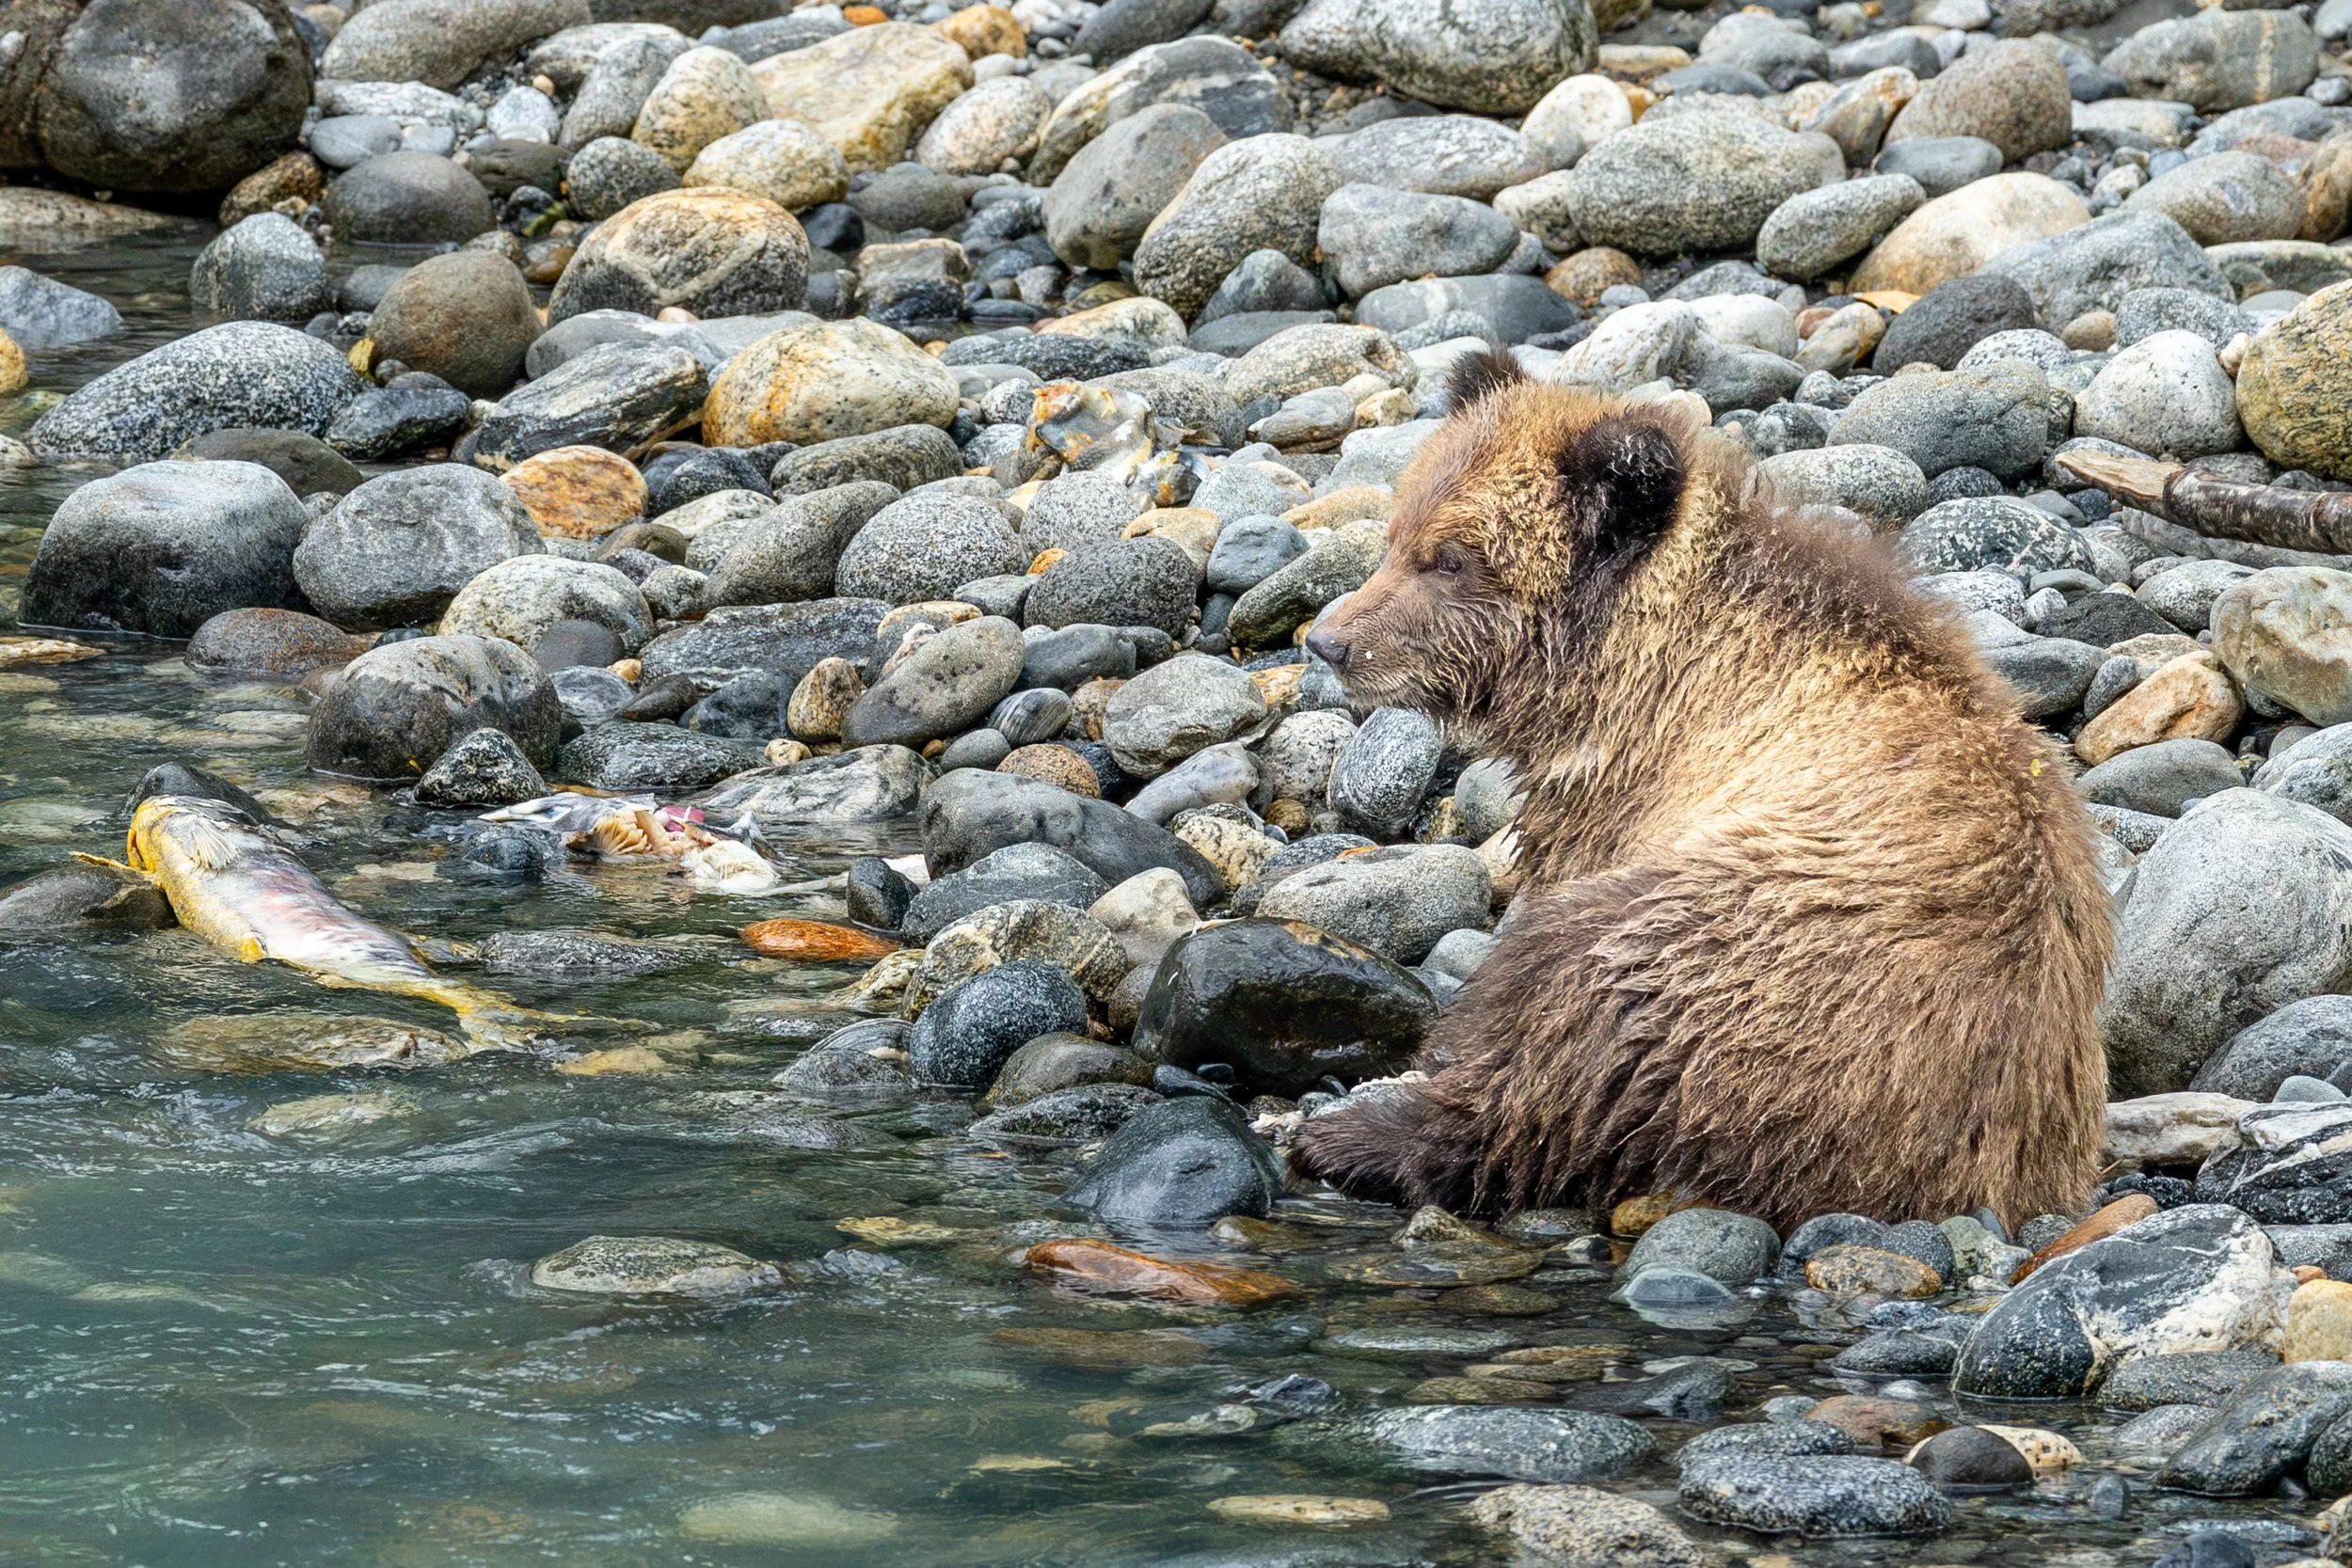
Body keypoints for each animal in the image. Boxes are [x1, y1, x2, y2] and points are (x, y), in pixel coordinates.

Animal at [1288, 349, 2112, 1233]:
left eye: (1452, 558)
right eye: (1399, 532)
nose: (1329, 640)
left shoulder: (1625, 800)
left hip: (1748, 961)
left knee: (1565, 1016)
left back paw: (1354, 1135)